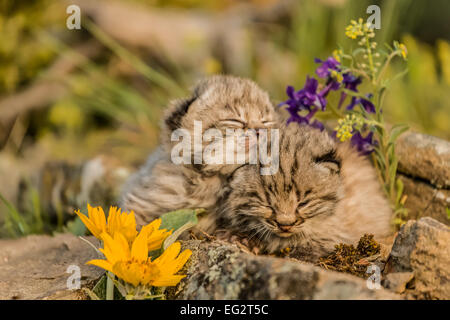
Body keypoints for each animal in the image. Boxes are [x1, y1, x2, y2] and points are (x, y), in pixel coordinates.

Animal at [209, 122, 392, 260]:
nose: (285, 225)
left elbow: (318, 243)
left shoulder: (342, 230)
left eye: (303, 203)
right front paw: (239, 237)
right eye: (268, 205)